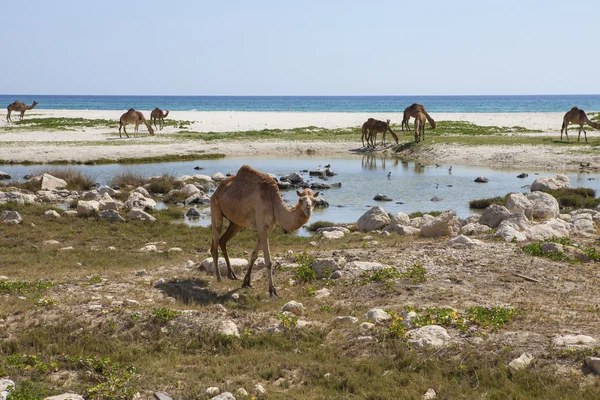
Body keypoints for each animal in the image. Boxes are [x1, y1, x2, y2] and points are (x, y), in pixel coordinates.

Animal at [210, 164, 322, 296]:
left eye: (314, 201)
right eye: (301, 200)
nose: (308, 208)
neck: (273, 201)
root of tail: (217, 190)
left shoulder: (268, 228)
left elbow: (254, 255)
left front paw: (246, 282)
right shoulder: (262, 227)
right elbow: (268, 261)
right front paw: (272, 290)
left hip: (236, 223)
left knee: (223, 240)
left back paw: (231, 274)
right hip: (215, 209)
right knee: (215, 243)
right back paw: (219, 277)